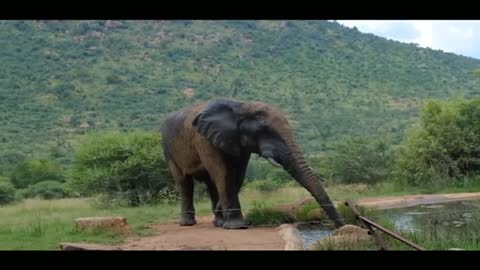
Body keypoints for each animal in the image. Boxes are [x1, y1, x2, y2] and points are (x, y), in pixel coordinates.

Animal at [161, 99, 344, 230]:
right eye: (263, 130)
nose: (340, 227)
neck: (242, 105)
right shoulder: (204, 140)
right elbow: (224, 173)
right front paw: (236, 227)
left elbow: (238, 175)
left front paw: (227, 222)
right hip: (168, 148)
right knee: (184, 182)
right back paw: (188, 223)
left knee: (210, 183)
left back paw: (218, 222)